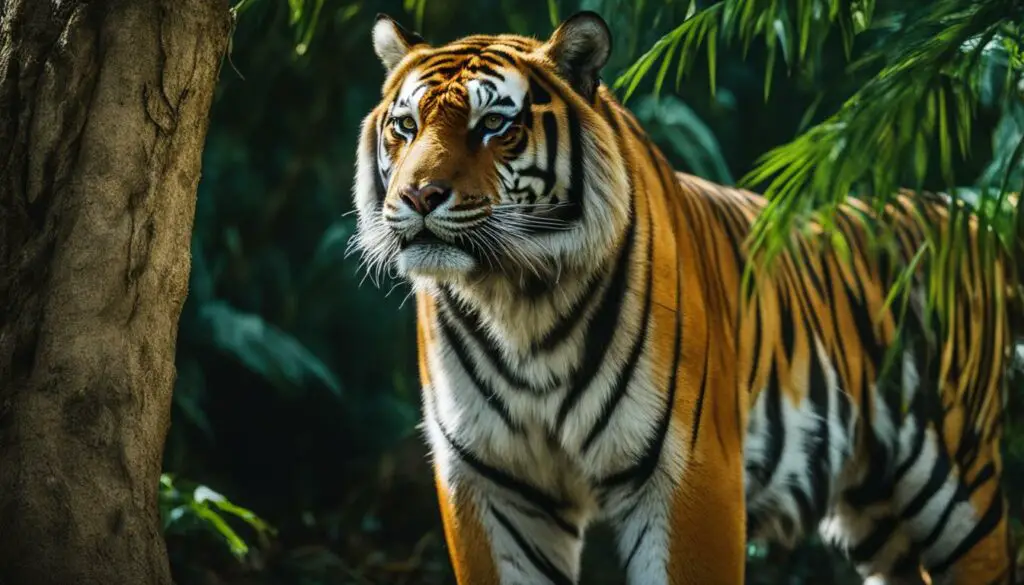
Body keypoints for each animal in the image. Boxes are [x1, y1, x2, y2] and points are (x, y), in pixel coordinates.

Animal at [351, 10, 1024, 585]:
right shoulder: (490, 484)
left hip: (960, 490)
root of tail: (967, 216)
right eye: (405, 126)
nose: (418, 196)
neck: (515, 300)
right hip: (876, 514)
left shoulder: (688, 474)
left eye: (494, 124)